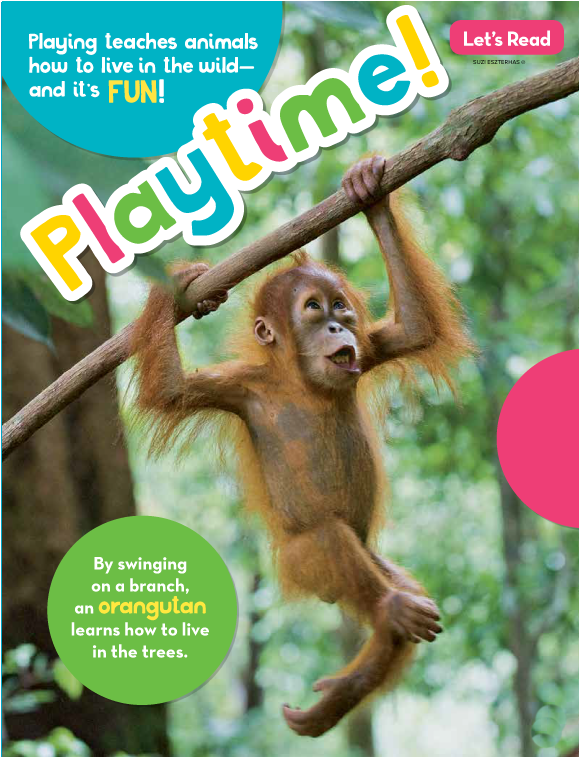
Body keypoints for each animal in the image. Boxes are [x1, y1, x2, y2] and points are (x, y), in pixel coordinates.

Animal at [130, 155, 474, 737]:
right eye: (313, 309)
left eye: (341, 307)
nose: (337, 325)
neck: (300, 379)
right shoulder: (238, 388)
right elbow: (170, 390)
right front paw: (177, 285)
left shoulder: (371, 347)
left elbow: (416, 328)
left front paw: (368, 192)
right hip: (298, 560)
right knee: (328, 539)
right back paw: (391, 615)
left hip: (371, 557)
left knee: (390, 583)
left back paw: (350, 682)